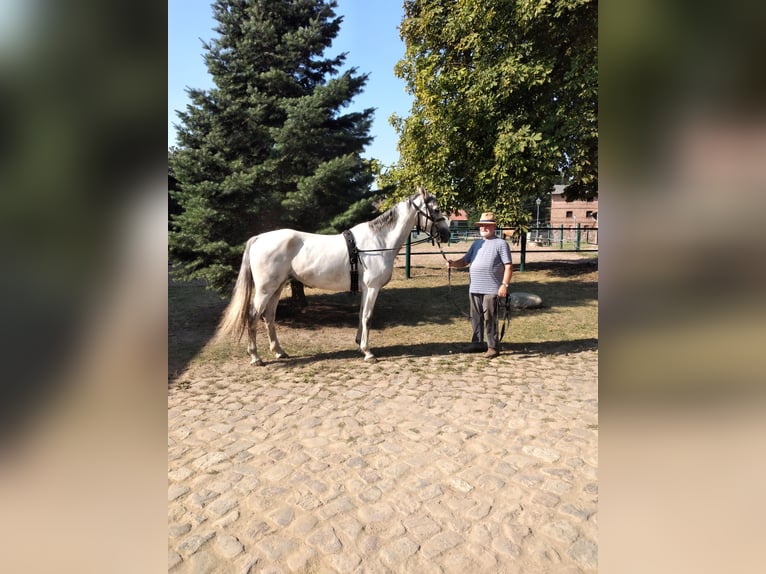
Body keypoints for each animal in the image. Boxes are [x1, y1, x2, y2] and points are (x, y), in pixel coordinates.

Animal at [213, 191, 452, 366]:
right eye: (436, 209)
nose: (446, 234)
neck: (378, 242)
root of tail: (258, 238)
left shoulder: (365, 289)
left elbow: (361, 315)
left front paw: (359, 344)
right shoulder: (373, 288)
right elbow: (368, 317)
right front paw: (368, 352)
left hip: (277, 287)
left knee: (269, 317)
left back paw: (280, 352)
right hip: (264, 289)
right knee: (253, 316)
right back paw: (256, 357)